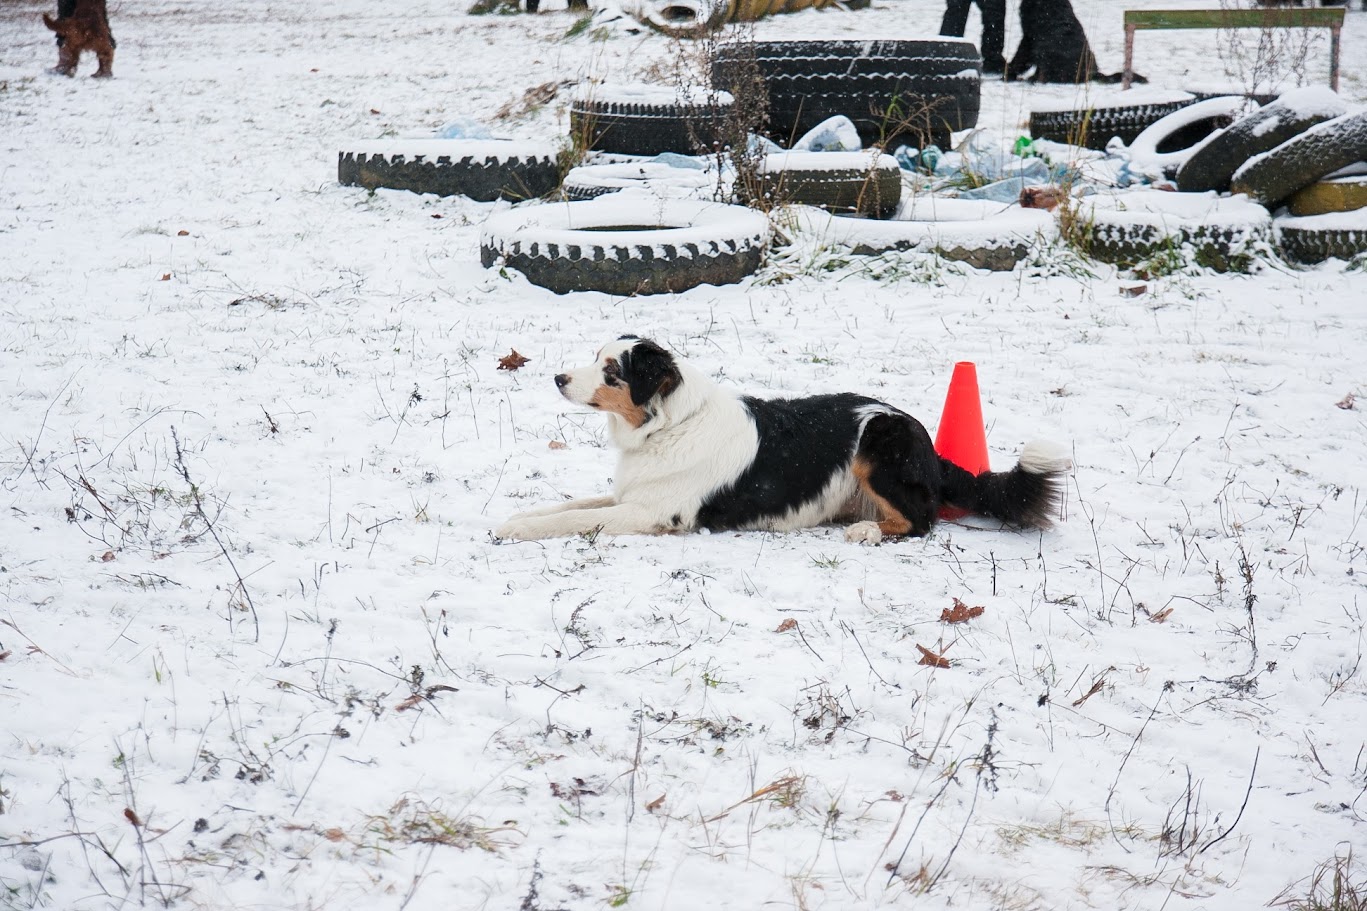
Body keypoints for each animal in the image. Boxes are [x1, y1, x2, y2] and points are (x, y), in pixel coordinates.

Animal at [492, 336, 1066, 541]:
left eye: (612, 371)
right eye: (595, 359)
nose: (558, 378)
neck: (670, 423)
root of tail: (927, 441)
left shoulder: (653, 512)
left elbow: (574, 519)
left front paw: (515, 531)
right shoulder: (628, 496)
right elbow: (569, 505)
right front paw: (518, 517)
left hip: (878, 441)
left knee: (922, 520)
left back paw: (868, 531)